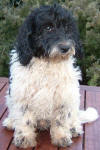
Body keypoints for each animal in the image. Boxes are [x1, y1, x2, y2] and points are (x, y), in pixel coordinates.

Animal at [2, 4, 98, 148]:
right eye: (48, 28)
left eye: (67, 27)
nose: (65, 48)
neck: (48, 63)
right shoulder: (22, 95)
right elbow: (25, 119)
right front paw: (25, 138)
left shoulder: (64, 96)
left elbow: (60, 120)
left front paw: (61, 136)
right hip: (10, 97)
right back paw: (11, 121)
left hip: (74, 98)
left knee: (73, 115)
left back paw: (73, 127)